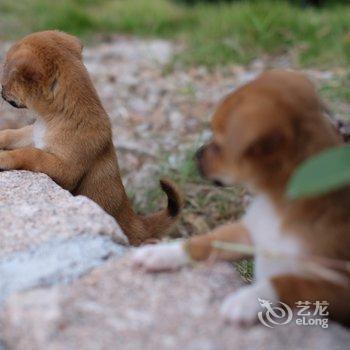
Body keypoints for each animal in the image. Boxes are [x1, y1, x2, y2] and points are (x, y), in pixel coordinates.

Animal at [1, 30, 183, 246]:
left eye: (10, 74)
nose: (1, 90)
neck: (54, 119)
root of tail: (138, 222)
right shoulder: (32, 134)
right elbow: (10, 134)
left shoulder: (66, 170)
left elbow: (31, 154)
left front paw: (4, 158)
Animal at [133, 69, 350, 326]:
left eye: (219, 145)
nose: (196, 154)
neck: (277, 203)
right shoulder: (246, 233)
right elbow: (207, 240)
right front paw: (164, 253)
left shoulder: (339, 286)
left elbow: (290, 281)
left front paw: (249, 298)